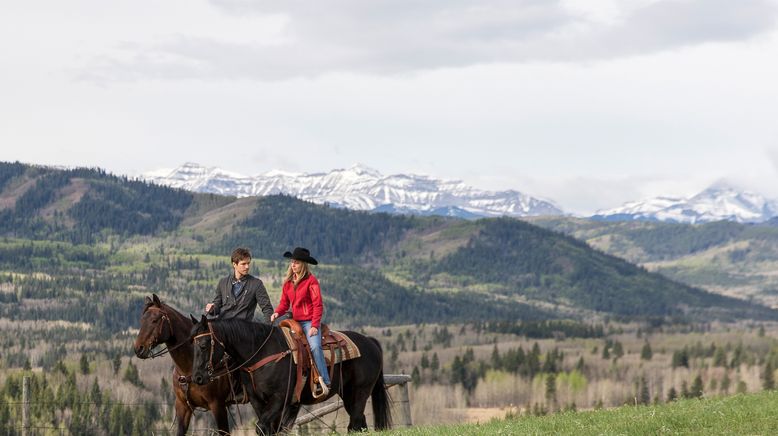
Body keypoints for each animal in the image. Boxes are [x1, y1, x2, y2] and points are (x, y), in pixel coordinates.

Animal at [133, 294, 233, 434]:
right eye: (142, 321)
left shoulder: (218, 406)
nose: (138, 349)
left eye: (155, 320)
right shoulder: (183, 407)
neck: (189, 368)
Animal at [191, 316, 392, 434]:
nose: (197, 377)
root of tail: (371, 342)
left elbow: (262, 427)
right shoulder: (258, 401)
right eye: (193, 345)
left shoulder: (280, 399)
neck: (263, 353)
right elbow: (269, 429)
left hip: (359, 394)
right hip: (349, 396)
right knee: (359, 423)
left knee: (355, 423)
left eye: (204, 345)